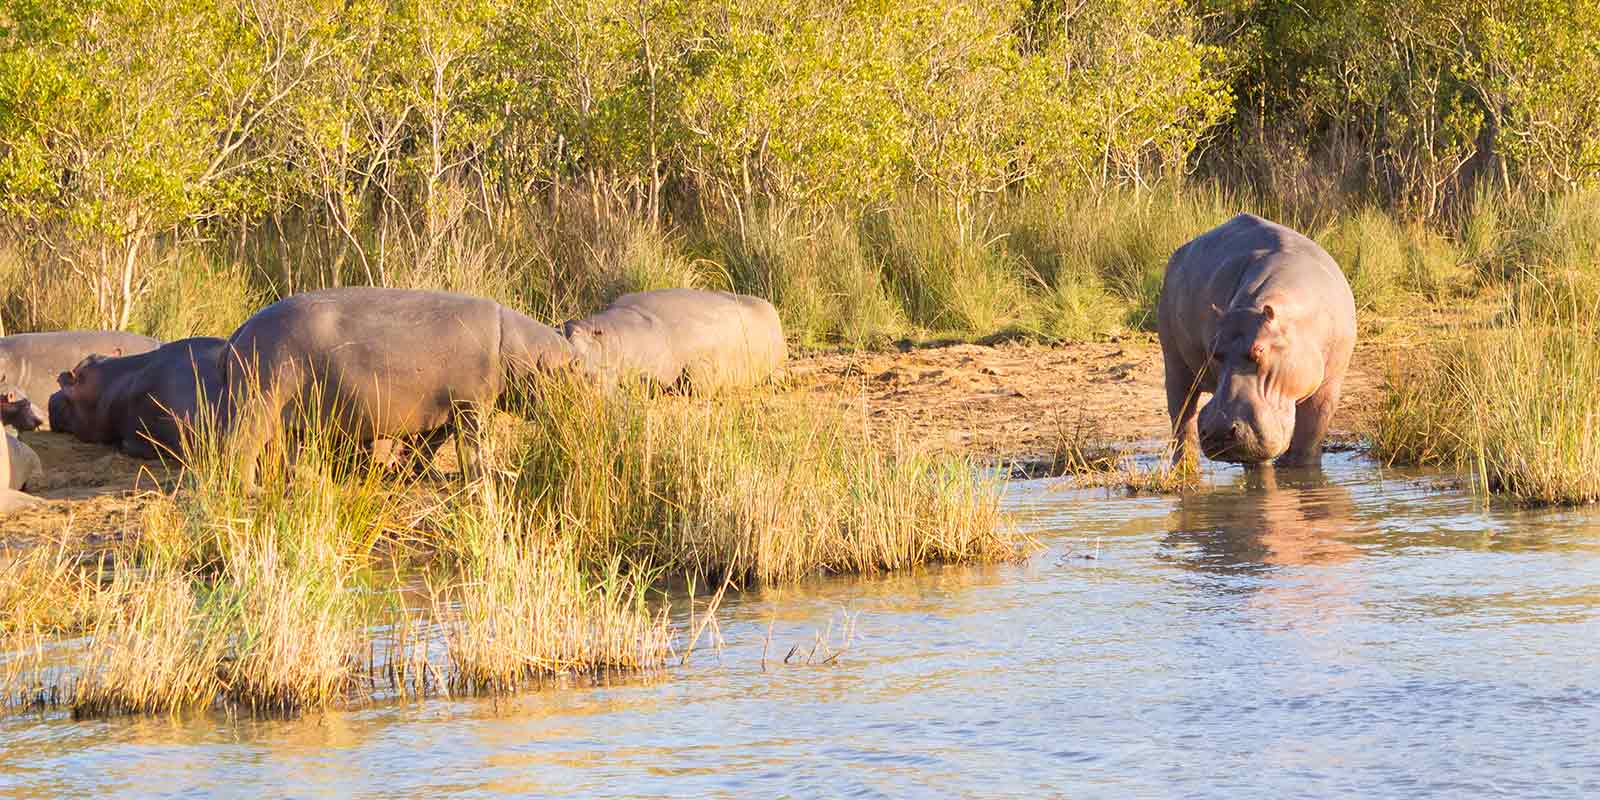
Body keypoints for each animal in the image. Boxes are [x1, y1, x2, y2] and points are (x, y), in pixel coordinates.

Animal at [220, 287, 577, 483]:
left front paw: (420, 473)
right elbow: (472, 448)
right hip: (260, 401)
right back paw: (251, 490)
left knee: (287, 456)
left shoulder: (443, 410)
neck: (522, 348)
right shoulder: (471, 406)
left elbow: (428, 446)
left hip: (290, 417)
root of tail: (239, 331)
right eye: (577, 370)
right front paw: (491, 476)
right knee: (240, 450)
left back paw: (309, 481)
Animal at [1157, 213, 1356, 466]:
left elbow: (1307, 443)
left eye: (1259, 350)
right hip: (1174, 363)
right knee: (1182, 419)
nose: (1218, 430)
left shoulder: (1327, 389)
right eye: (1213, 352)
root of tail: (1179, 253)